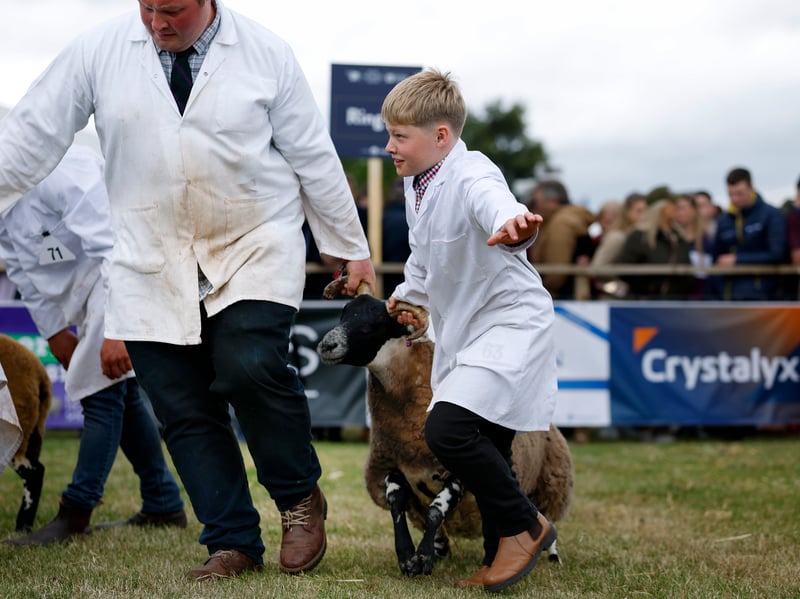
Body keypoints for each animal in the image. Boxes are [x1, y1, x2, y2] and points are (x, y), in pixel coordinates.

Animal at [317, 292, 574, 577]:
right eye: (343, 315)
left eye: (373, 324)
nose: (326, 346)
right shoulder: (392, 465)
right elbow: (397, 506)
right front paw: (408, 555)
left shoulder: (459, 472)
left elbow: (436, 511)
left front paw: (423, 558)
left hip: (551, 485)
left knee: (545, 517)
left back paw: (551, 556)